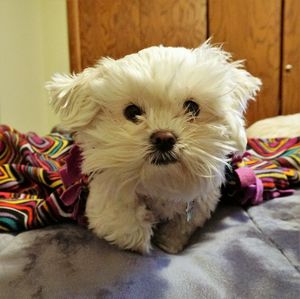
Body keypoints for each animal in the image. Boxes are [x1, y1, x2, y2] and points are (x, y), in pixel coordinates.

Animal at [46, 41, 260, 254]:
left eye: (192, 107)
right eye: (132, 112)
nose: (164, 138)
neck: (162, 185)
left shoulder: (200, 205)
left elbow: (180, 229)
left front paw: (169, 243)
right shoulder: (103, 195)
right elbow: (126, 225)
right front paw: (143, 233)